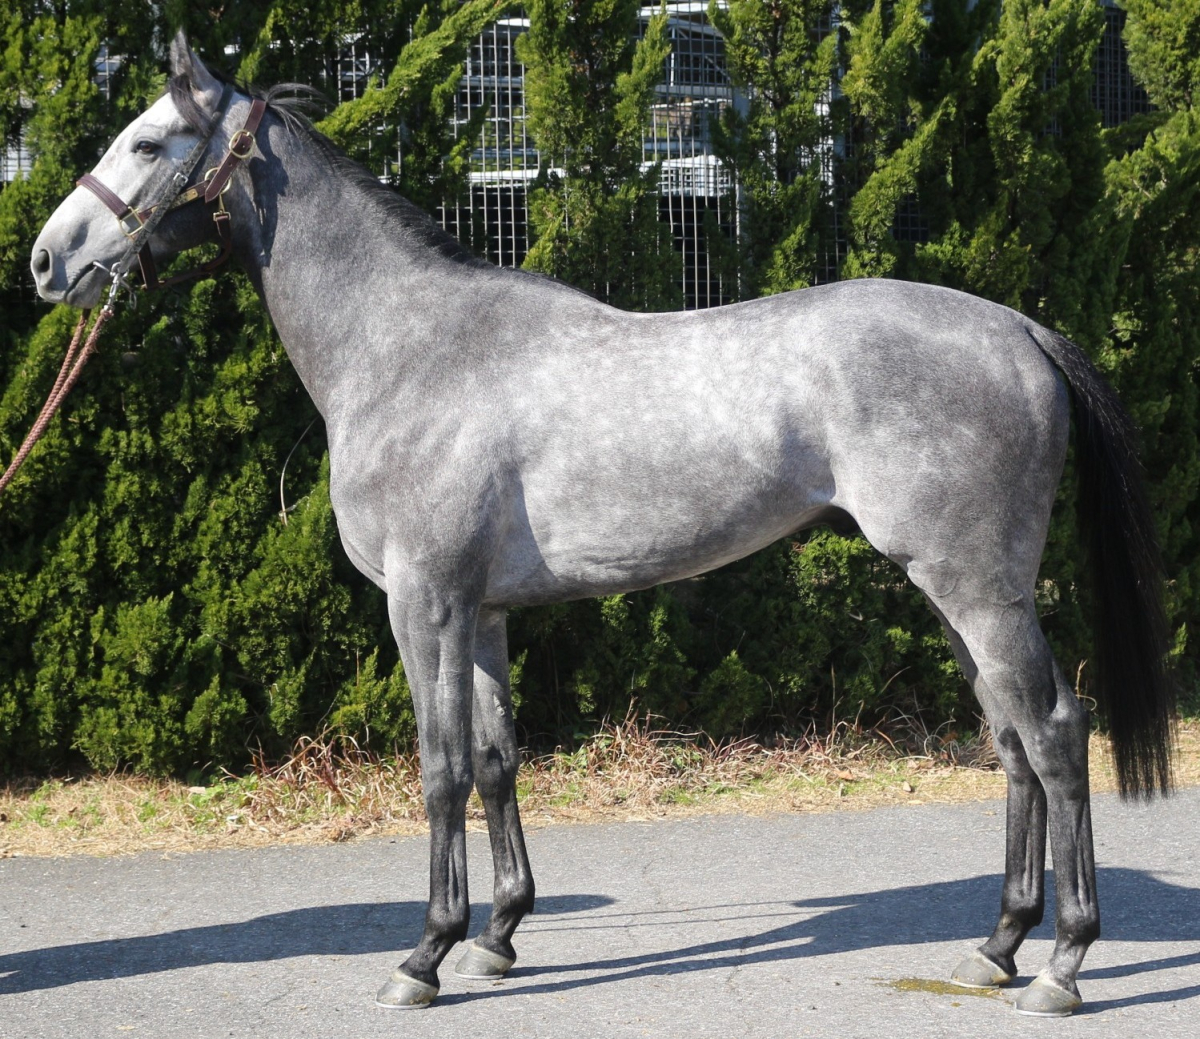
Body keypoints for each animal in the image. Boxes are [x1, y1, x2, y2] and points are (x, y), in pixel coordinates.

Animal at [29, 33, 1174, 1018]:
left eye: (147, 142)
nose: (46, 262)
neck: (410, 347)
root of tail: (1019, 328)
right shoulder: (482, 613)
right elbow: (497, 759)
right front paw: (496, 936)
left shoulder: (425, 603)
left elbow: (440, 767)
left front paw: (424, 955)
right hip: (951, 590)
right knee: (1012, 740)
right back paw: (997, 945)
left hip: (977, 588)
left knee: (1056, 733)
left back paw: (1062, 965)